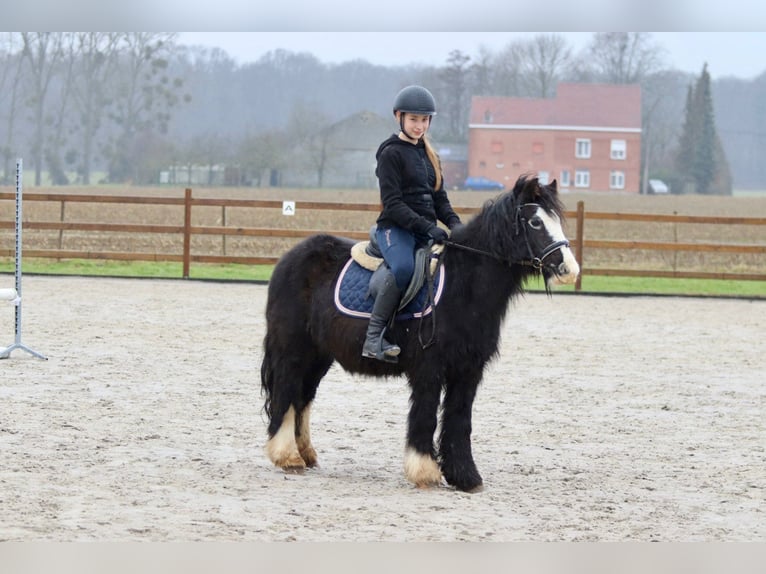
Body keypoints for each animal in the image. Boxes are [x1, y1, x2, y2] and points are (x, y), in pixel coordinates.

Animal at [260, 176, 580, 496]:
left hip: (319, 355)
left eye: (556, 219)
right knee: (287, 392)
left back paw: (305, 454)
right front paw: (425, 471)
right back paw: (287, 456)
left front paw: (465, 477)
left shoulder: (468, 370)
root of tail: (289, 258)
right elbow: (425, 415)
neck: (463, 285)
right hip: (293, 350)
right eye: (535, 222)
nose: (569, 269)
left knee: (303, 396)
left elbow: (459, 419)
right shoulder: (429, 368)